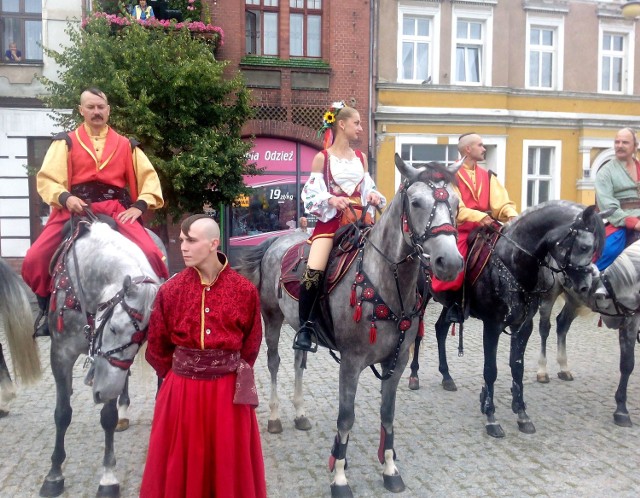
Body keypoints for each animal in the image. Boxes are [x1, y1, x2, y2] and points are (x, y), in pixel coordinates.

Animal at [37, 221, 160, 498]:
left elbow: (108, 417)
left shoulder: (111, 373)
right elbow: (62, 413)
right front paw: (54, 474)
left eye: (141, 340)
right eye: (113, 328)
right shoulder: (60, 355)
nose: (102, 393)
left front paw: (108, 477)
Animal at [238, 154, 462, 496]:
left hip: (300, 327)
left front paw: (390, 468)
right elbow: (346, 418)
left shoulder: (397, 361)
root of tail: (277, 239)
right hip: (272, 319)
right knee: (274, 363)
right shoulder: (351, 362)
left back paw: (300, 413)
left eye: (456, 203)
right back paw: (276, 417)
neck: (385, 283)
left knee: (298, 361)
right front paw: (340, 476)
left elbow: (387, 415)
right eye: (416, 202)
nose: (449, 262)